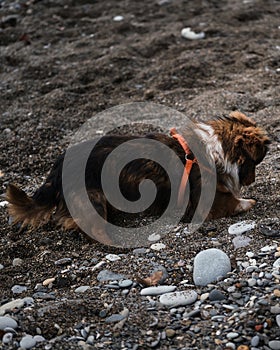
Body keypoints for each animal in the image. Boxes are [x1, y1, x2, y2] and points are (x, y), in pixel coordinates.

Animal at [6, 111, 270, 243]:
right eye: (255, 163)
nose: (253, 181)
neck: (216, 148)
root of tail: (57, 167)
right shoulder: (207, 202)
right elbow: (233, 202)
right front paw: (248, 202)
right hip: (92, 199)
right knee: (87, 225)